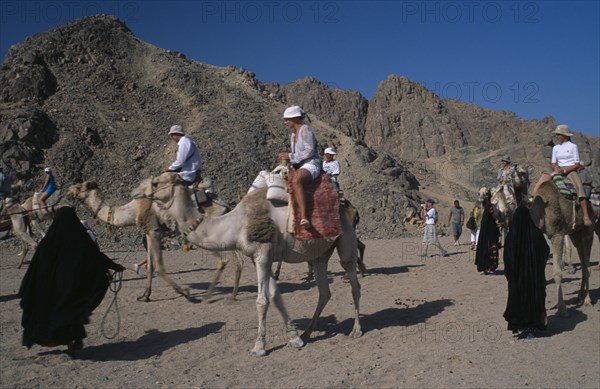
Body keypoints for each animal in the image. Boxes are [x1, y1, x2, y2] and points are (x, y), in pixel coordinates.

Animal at [133, 172, 364, 354]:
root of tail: (343, 204)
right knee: (324, 291)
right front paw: (295, 338)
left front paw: (259, 346)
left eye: (156, 182)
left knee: (354, 283)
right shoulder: (260, 259)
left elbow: (262, 300)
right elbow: (275, 296)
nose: (135, 193)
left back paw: (356, 329)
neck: (234, 224)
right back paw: (308, 331)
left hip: (345, 240)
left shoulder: (263, 254)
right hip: (319, 255)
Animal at [528, 180, 596, 316]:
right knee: (582, 259)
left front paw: (562, 309)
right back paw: (579, 296)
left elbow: (557, 273)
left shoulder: (557, 235)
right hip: (575, 234)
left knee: (587, 266)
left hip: (589, 230)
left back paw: (587, 300)